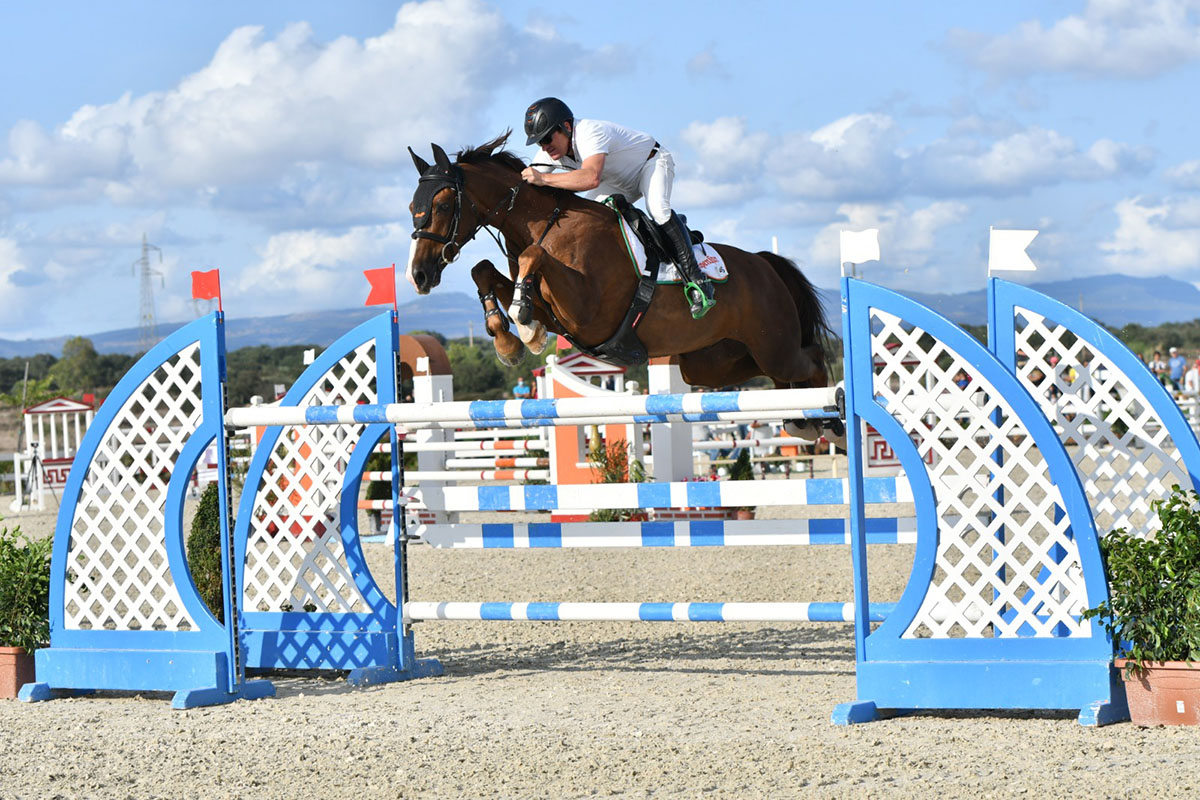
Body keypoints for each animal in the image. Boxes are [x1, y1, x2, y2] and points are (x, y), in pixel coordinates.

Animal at [408, 131, 840, 443]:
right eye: (413, 207)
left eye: (442, 206)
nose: (419, 275)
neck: (545, 223)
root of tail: (764, 264)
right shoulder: (558, 313)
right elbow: (483, 270)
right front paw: (508, 340)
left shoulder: (587, 311)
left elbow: (534, 256)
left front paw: (524, 328)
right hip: (717, 361)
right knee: (781, 378)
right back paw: (802, 420)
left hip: (773, 345)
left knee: (812, 357)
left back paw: (831, 417)